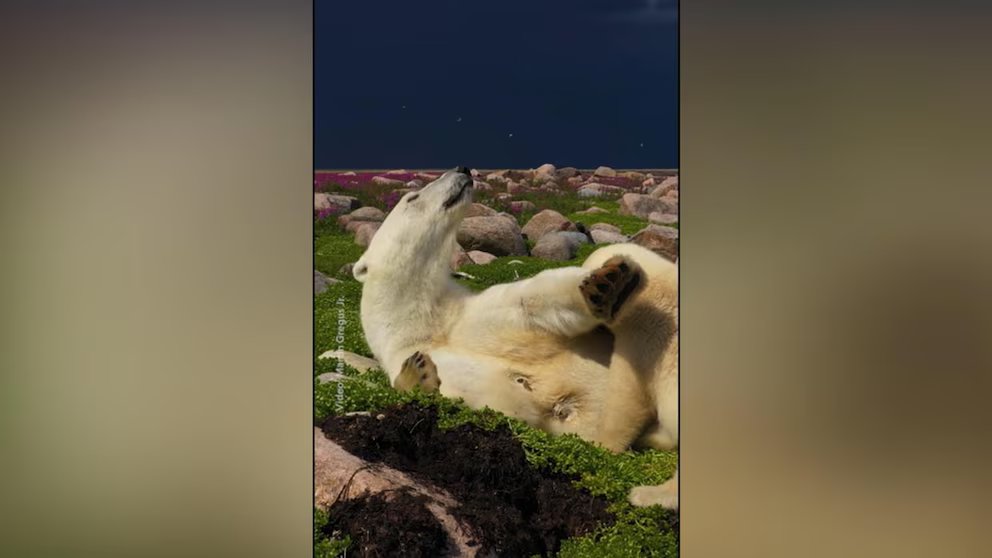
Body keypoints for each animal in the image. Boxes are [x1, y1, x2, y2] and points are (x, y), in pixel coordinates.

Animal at [354, 167, 677, 507]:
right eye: (412, 197)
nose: (462, 170)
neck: (428, 323)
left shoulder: (476, 318)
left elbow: (533, 304)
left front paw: (606, 285)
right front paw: (418, 371)